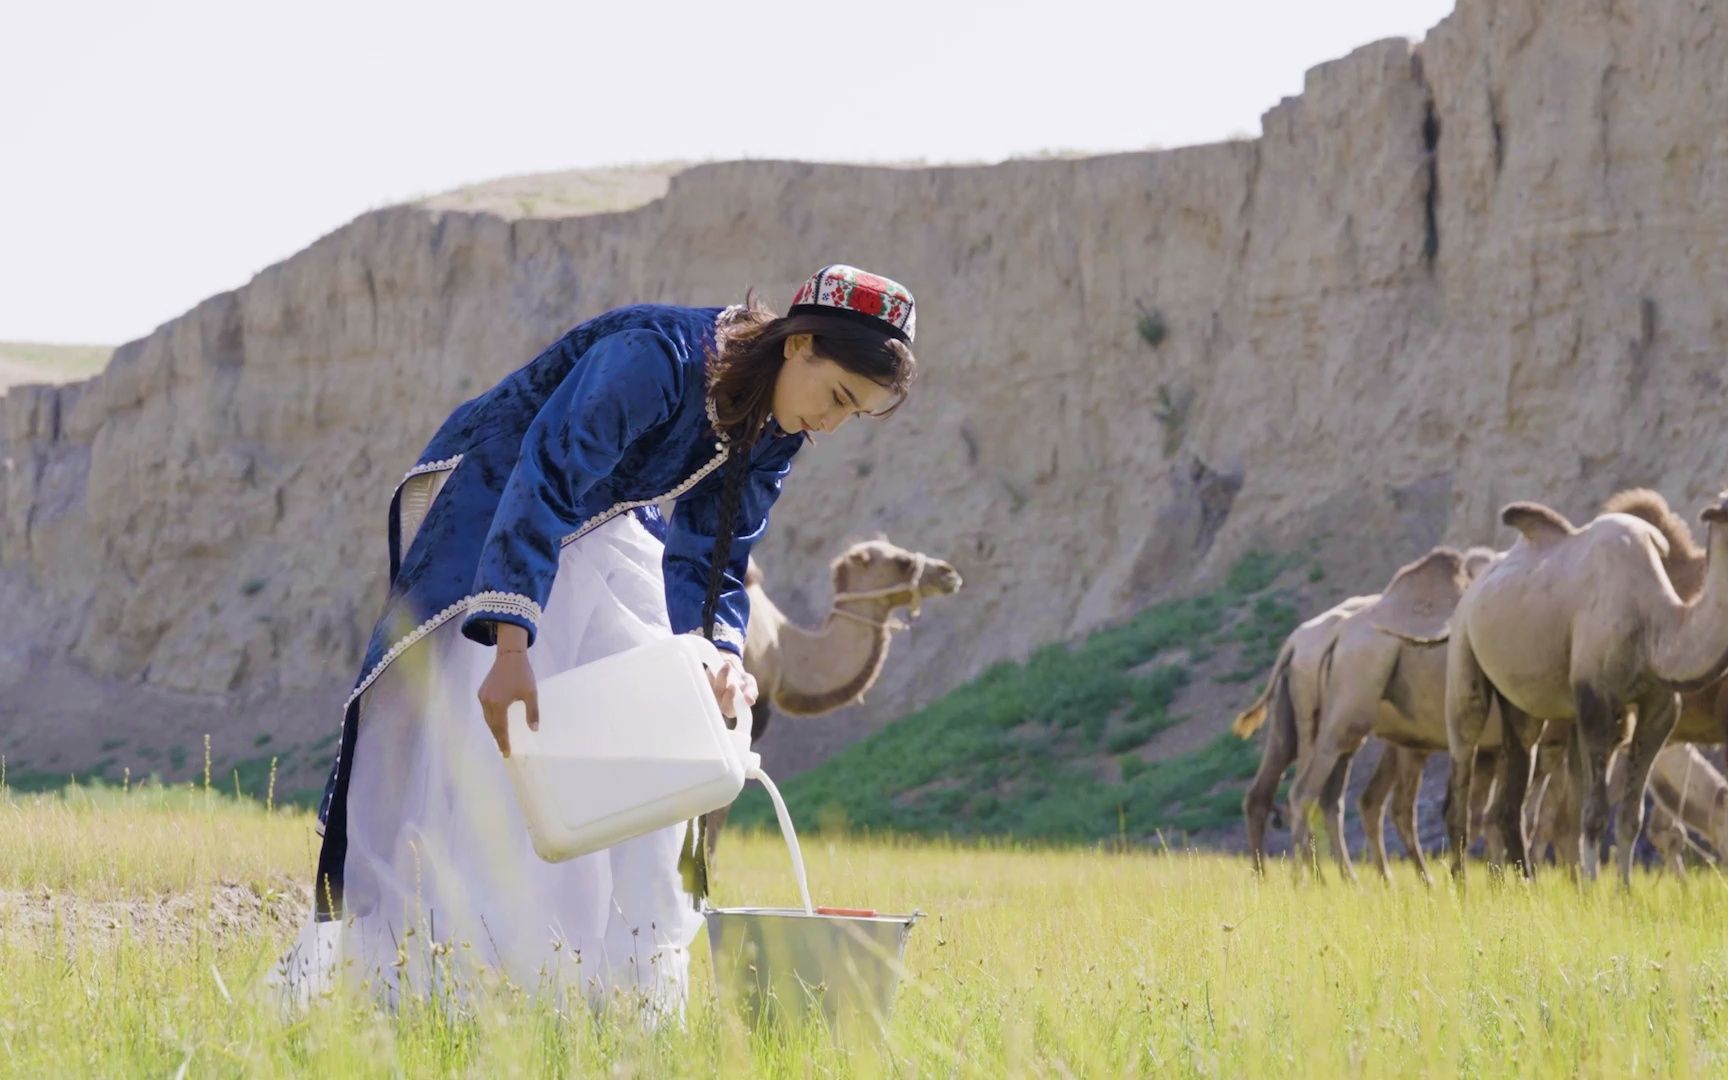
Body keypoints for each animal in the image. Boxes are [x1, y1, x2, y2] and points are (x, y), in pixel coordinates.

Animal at [1382, 494, 1728, 881]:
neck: (1653, 623)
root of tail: (1472, 589)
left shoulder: (1661, 708)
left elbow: (1628, 818)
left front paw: (1621, 890)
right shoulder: (1596, 699)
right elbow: (1592, 814)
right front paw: (1593, 887)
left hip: (1522, 704)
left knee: (1510, 799)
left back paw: (1522, 885)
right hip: (1463, 656)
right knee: (1462, 770)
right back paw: (1462, 886)